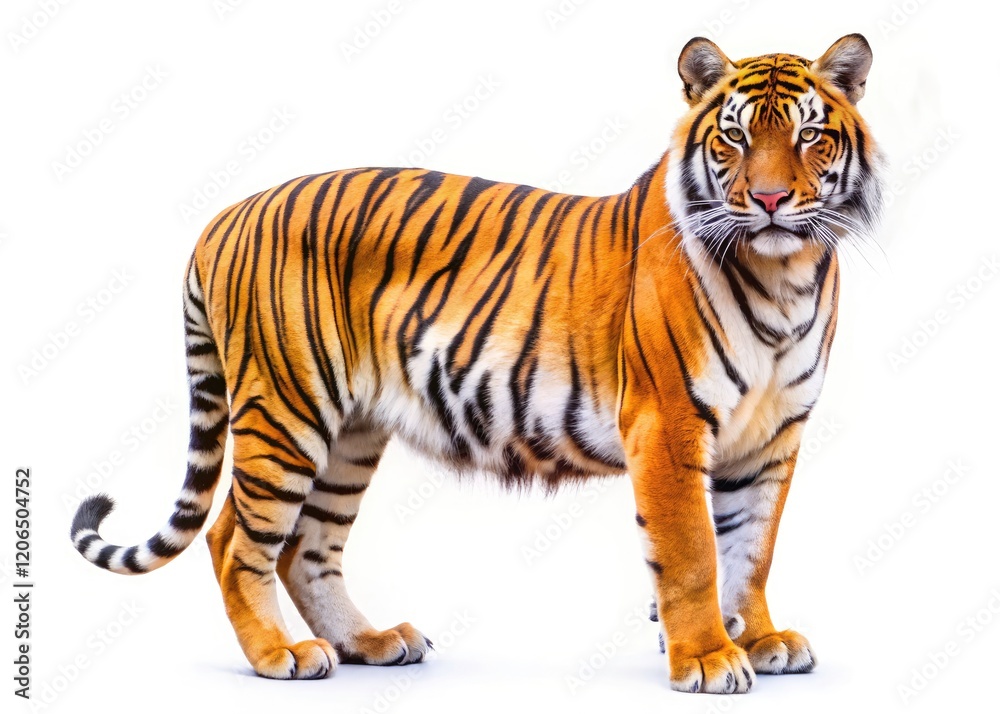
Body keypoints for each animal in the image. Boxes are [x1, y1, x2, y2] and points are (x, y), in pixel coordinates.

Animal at [70, 33, 882, 694]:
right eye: (733, 138)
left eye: (810, 135)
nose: (770, 199)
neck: (785, 276)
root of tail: (225, 215)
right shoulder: (670, 423)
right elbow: (693, 554)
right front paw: (710, 658)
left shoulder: (773, 436)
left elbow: (752, 548)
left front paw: (762, 639)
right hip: (287, 409)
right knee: (234, 538)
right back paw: (279, 656)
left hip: (350, 432)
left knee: (307, 545)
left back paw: (368, 641)